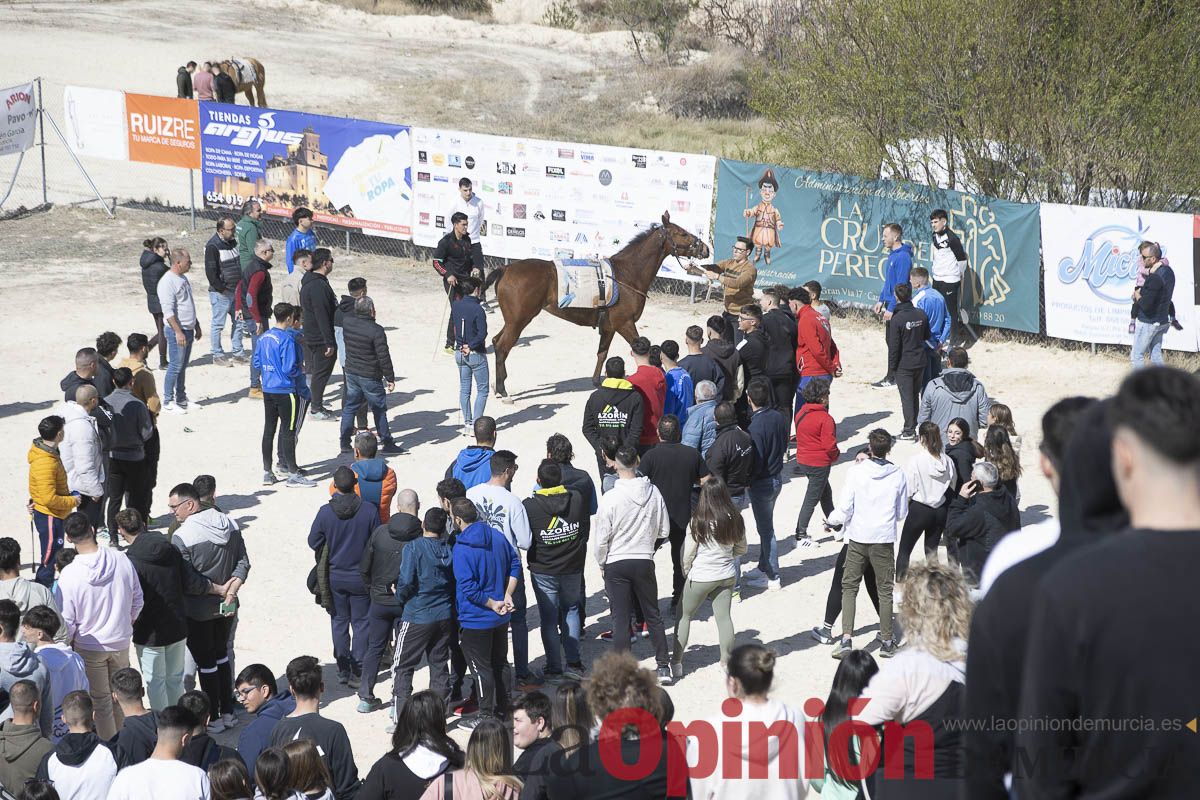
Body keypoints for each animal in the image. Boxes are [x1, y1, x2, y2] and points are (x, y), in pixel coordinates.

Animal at [482, 211, 705, 398]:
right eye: (682, 233)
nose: (705, 247)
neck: (627, 275)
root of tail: (506, 268)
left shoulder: (609, 326)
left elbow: (602, 353)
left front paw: (597, 380)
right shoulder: (624, 323)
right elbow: (643, 347)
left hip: (512, 321)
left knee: (495, 341)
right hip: (519, 320)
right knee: (502, 347)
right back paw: (502, 389)